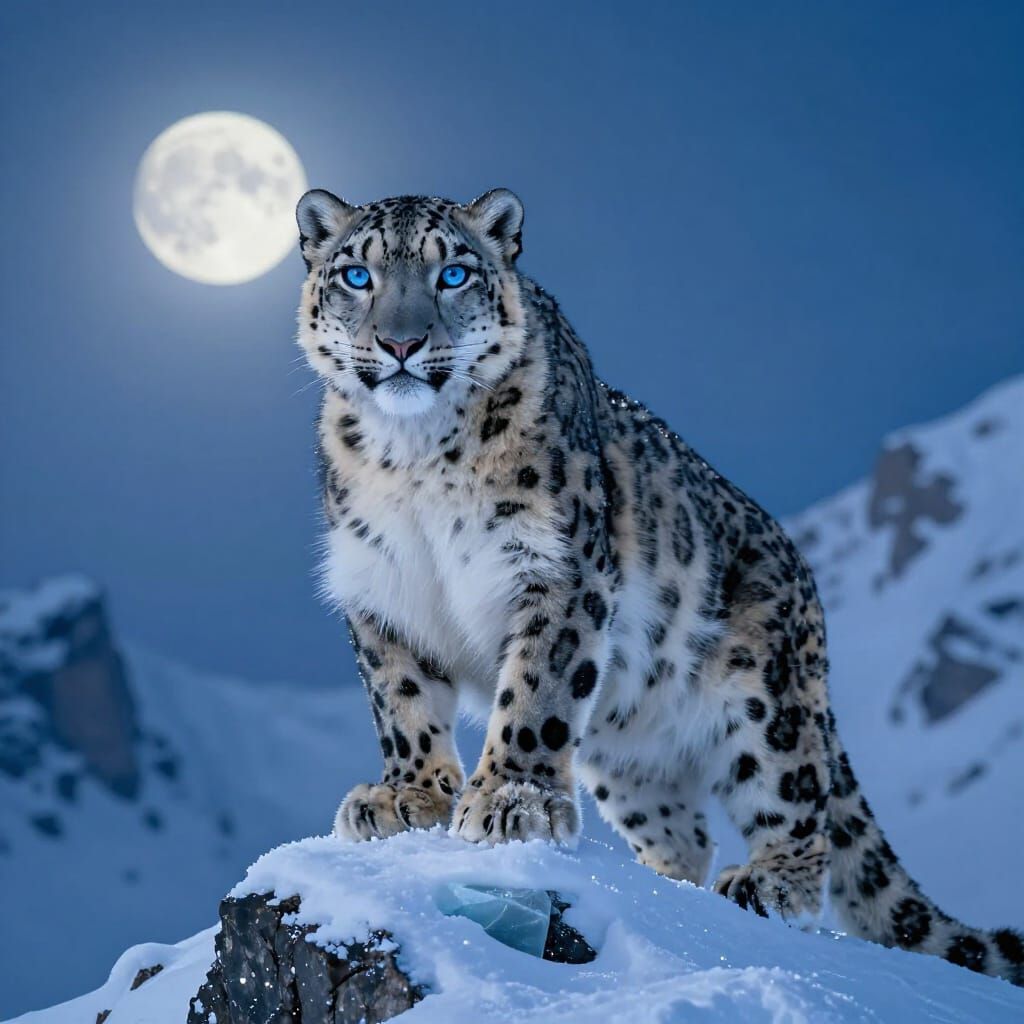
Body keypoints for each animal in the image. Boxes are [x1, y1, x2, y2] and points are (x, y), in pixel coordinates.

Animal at [293, 186, 1023, 986]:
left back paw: (766, 881)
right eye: (357, 276)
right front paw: (407, 796)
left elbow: (535, 694)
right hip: (629, 757)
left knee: (798, 806)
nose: (401, 344)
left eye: (452, 274)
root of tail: (806, 587)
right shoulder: (382, 592)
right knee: (684, 834)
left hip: (768, 697)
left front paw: (511, 800)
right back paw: (663, 886)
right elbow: (402, 703)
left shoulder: (557, 571)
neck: (416, 457)